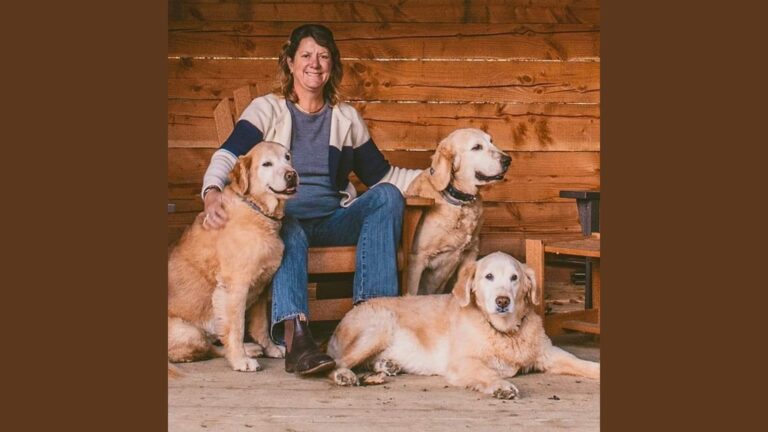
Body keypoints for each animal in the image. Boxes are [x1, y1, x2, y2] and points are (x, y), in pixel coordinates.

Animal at [168, 141, 296, 372]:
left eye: (287, 157)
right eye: (267, 164)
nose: (292, 175)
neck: (257, 210)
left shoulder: (262, 286)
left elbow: (261, 325)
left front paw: (270, 348)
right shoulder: (235, 287)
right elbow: (235, 328)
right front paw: (240, 360)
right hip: (188, 332)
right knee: (208, 347)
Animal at [328, 253, 596, 398]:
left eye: (514, 278)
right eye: (489, 276)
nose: (502, 301)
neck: (504, 331)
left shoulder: (548, 353)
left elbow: (581, 362)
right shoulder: (463, 362)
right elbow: (487, 373)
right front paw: (501, 386)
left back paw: (387, 365)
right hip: (380, 324)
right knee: (337, 363)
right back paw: (344, 375)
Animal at [408, 128, 510, 296]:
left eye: (491, 141)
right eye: (476, 147)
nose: (508, 159)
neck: (461, 203)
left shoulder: (470, 252)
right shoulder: (416, 259)